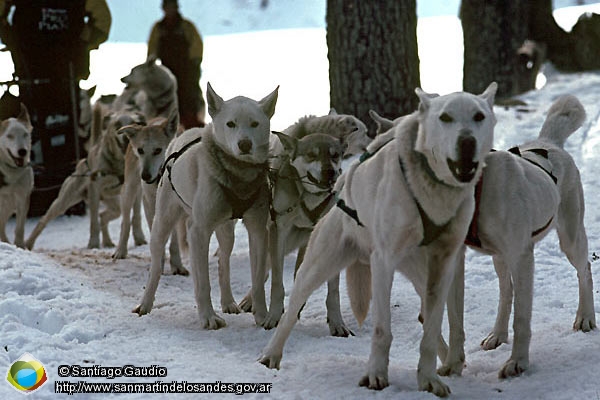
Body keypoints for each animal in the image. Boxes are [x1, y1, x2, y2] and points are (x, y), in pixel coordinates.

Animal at [134, 83, 278, 330]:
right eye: (230, 124)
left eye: (254, 123)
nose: (244, 144)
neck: (238, 177)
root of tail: (186, 133)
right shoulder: (199, 232)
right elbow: (203, 283)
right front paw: (208, 317)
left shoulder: (258, 230)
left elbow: (258, 279)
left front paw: (262, 316)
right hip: (163, 223)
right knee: (157, 266)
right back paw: (145, 304)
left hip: (226, 231)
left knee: (223, 263)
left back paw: (228, 302)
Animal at [258, 83, 496, 396]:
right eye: (445, 117)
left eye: (479, 116)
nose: (467, 141)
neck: (431, 194)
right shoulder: (383, 263)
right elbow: (383, 329)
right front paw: (376, 375)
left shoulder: (444, 266)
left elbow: (432, 328)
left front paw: (429, 378)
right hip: (318, 266)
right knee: (291, 307)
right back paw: (270, 355)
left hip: (420, 273)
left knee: (431, 316)